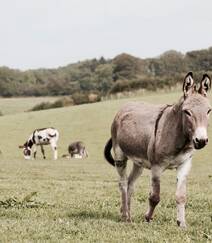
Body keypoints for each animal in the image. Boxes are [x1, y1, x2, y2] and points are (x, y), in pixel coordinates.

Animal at [104, 71, 210, 227]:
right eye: (187, 112)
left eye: (209, 111)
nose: (201, 141)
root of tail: (127, 105)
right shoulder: (156, 167)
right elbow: (155, 197)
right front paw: (148, 217)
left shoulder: (184, 165)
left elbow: (181, 196)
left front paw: (182, 224)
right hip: (120, 155)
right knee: (122, 183)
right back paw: (125, 217)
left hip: (139, 163)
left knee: (130, 183)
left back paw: (128, 214)